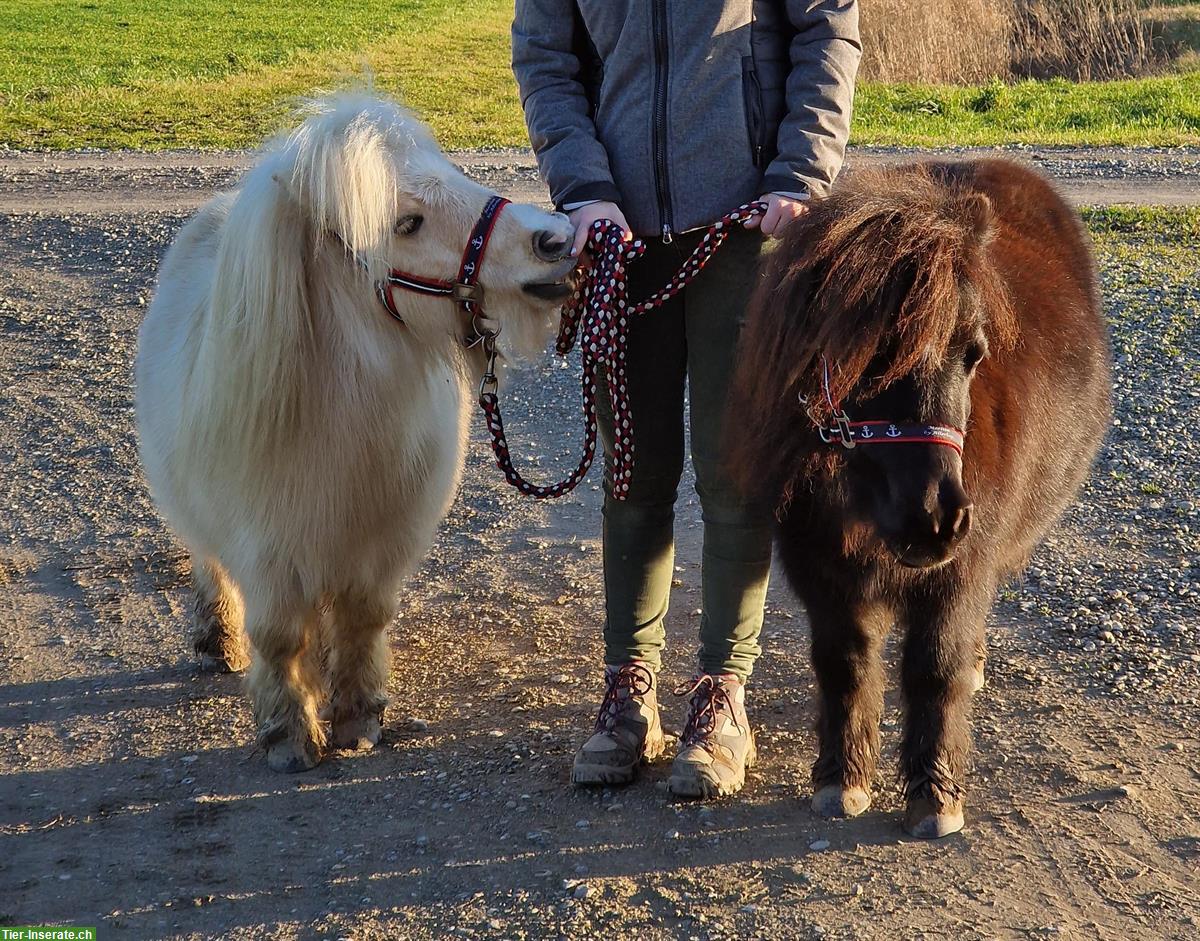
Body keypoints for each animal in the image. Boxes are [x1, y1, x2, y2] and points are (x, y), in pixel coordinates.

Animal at [133, 95, 573, 772]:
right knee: (209, 563)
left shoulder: (381, 542)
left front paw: (357, 718)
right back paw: (217, 641)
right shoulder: (265, 547)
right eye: (408, 222)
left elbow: (363, 620)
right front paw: (289, 737)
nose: (555, 240)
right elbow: (278, 636)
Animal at [729, 159, 1113, 840]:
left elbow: (935, 670)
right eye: (873, 352)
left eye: (974, 353)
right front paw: (842, 778)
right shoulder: (821, 569)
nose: (936, 518)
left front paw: (935, 796)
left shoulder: (958, 573)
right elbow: (845, 663)